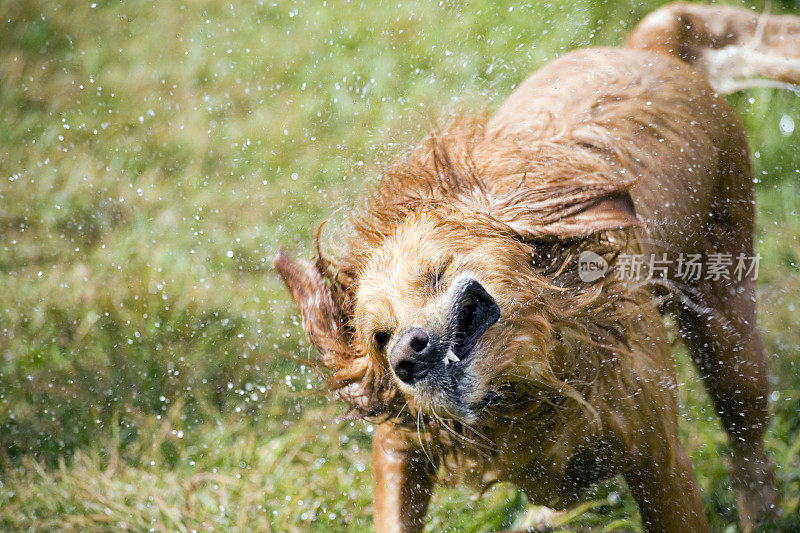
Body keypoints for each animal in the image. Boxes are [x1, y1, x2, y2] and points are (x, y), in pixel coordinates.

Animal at [276, 3, 800, 528]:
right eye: (380, 339)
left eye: (437, 274)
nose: (407, 355)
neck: (524, 387)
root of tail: (651, 50)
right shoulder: (402, 440)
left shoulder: (658, 458)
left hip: (727, 329)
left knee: (746, 427)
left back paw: (762, 511)